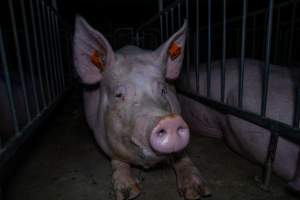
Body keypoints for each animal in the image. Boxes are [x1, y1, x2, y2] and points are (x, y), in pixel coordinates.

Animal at [72, 16, 211, 200]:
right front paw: (128, 193)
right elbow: (118, 161)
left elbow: (182, 156)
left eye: (163, 90)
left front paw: (197, 192)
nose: (169, 121)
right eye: (118, 94)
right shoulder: (102, 139)